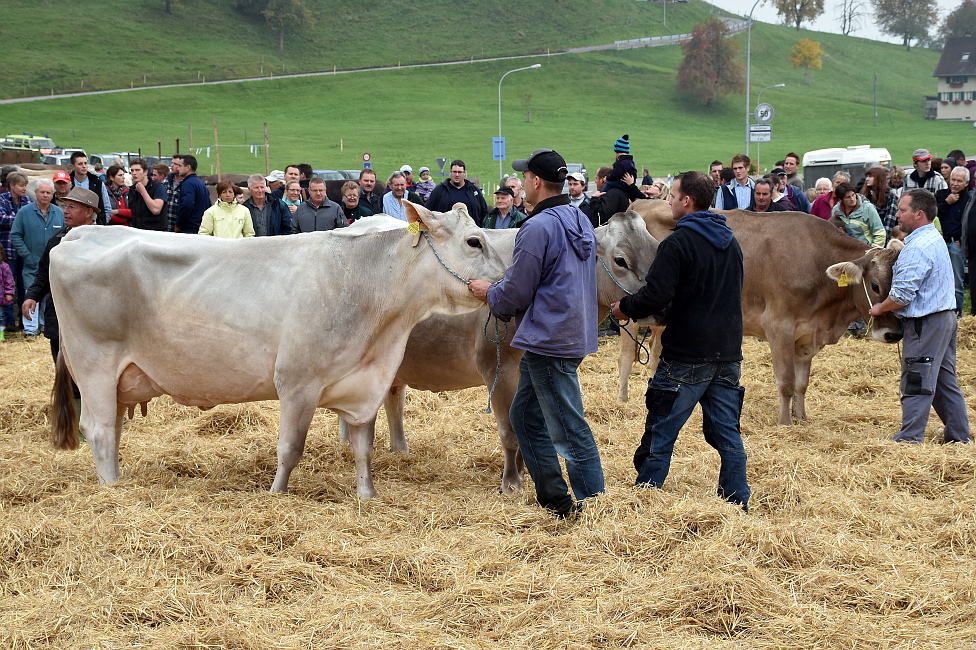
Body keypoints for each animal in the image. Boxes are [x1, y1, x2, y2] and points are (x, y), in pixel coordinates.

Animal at [620, 201, 904, 426]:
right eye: (875, 286)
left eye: (900, 280)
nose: (894, 334)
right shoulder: (779, 326)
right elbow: (786, 382)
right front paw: (785, 423)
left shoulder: (807, 333)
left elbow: (801, 384)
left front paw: (802, 418)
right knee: (626, 355)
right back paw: (623, 400)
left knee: (656, 353)